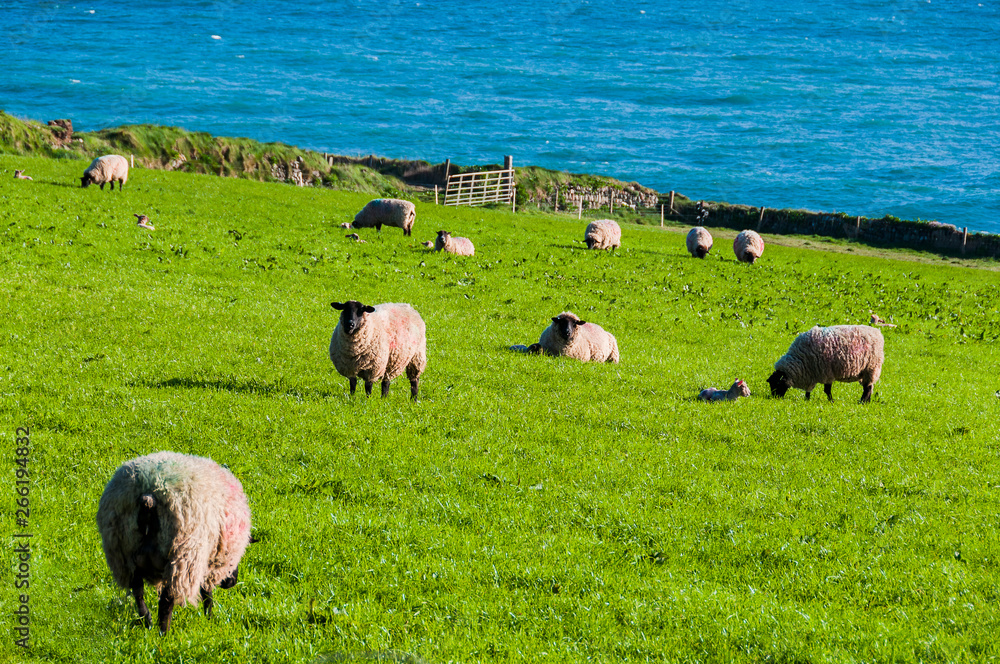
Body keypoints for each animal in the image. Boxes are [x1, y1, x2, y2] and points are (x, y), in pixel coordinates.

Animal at [96, 451, 252, 634]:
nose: (231, 583)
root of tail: (148, 497)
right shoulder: (207, 561)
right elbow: (207, 593)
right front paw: (210, 618)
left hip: (124, 555)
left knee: (138, 592)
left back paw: (147, 621)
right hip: (181, 558)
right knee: (166, 601)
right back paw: (164, 632)